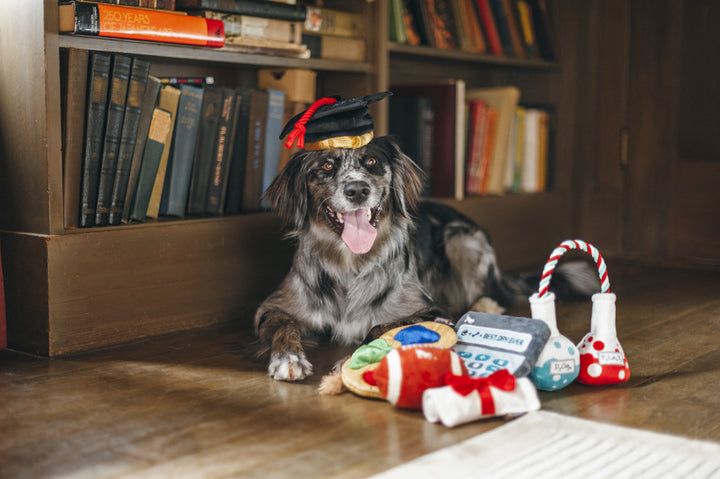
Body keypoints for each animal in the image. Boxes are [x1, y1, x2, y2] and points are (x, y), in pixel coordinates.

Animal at [255, 135, 596, 382]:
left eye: (371, 161)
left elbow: (379, 327)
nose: (357, 190)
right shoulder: (273, 307)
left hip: (462, 239)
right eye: (326, 166)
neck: (351, 264)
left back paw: (484, 304)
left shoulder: (431, 310)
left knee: (493, 289)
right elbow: (284, 326)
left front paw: (352, 360)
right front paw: (288, 359)